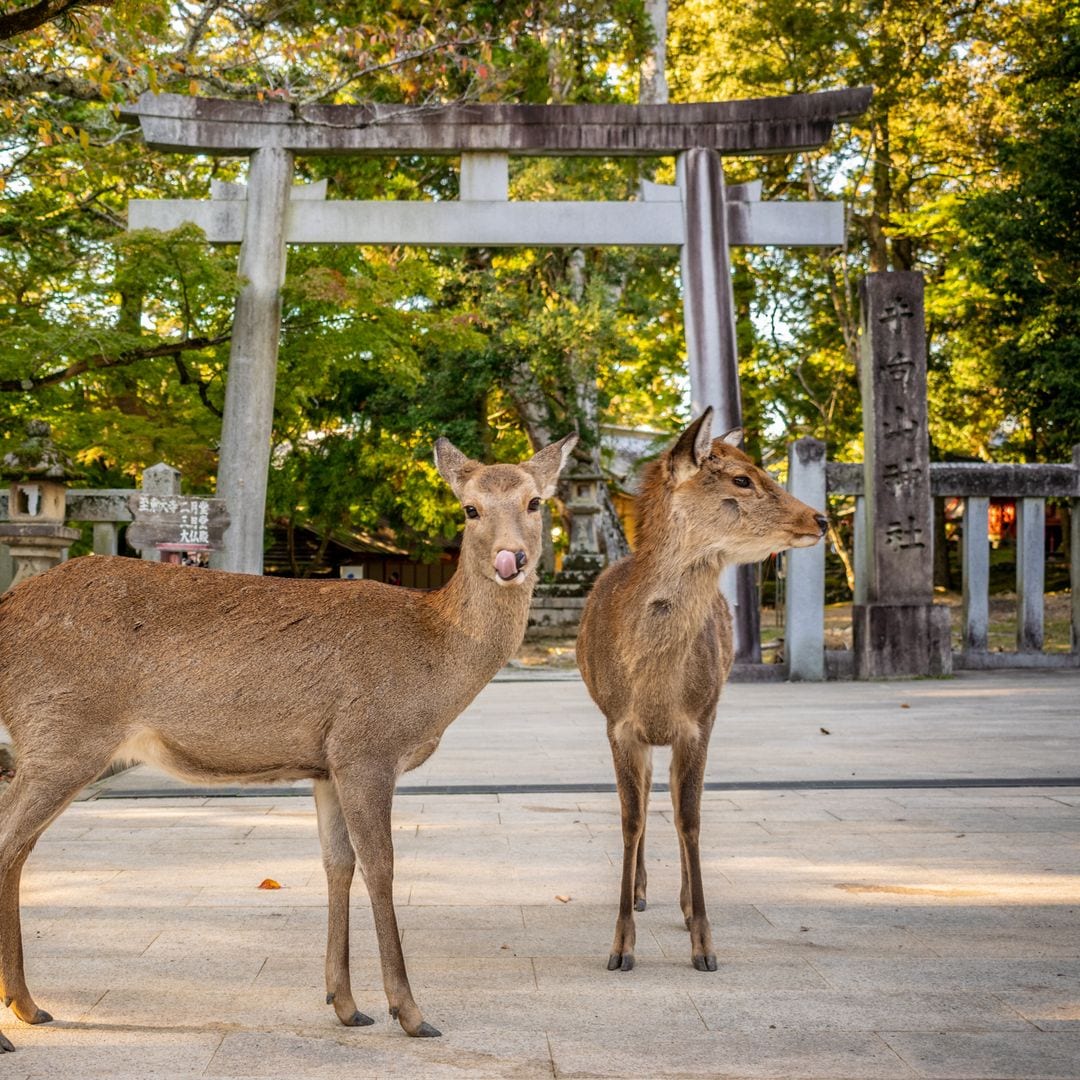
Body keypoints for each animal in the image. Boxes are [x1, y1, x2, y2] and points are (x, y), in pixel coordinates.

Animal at [0, 432, 576, 1054]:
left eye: (536, 502)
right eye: (470, 508)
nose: (510, 560)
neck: (436, 658)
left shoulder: (324, 766)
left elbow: (337, 864)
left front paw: (345, 1004)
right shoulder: (366, 748)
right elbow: (382, 865)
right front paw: (410, 1012)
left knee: (18, 846)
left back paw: (28, 1005)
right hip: (63, 734)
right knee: (11, 842)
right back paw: (20, 1014)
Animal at [577, 408, 825, 973]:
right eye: (741, 479)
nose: (820, 519)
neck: (654, 685)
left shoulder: (700, 721)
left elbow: (689, 818)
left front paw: (704, 944)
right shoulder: (618, 724)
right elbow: (630, 819)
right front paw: (620, 947)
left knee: (671, 804)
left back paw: (685, 903)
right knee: (648, 800)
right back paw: (642, 891)